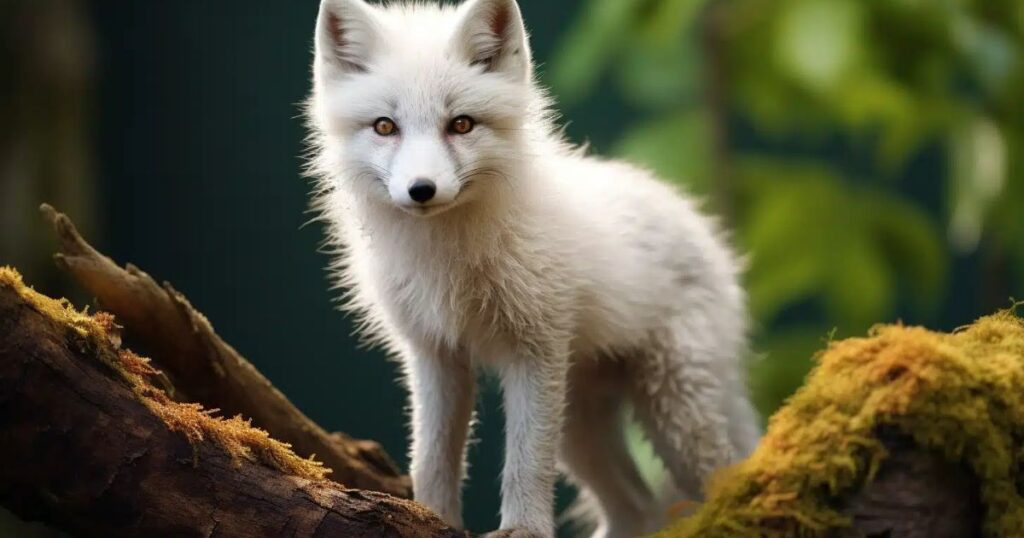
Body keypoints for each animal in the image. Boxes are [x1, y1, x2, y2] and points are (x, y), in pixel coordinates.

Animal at [305, 0, 761, 536]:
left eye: (461, 125)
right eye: (384, 127)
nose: (421, 190)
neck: (448, 260)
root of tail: (710, 236)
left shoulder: (535, 348)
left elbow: (525, 461)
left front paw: (523, 529)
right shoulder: (435, 352)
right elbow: (432, 459)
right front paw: (428, 517)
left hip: (674, 416)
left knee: (725, 477)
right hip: (581, 426)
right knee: (636, 508)